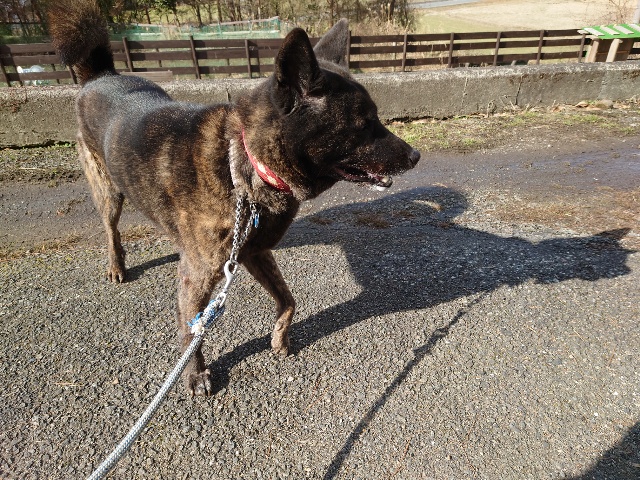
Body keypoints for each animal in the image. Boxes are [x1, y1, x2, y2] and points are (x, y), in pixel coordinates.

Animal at [48, 1, 420, 396]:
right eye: (364, 123)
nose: (416, 156)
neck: (243, 165)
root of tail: (100, 75)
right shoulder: (197, 276)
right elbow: (192, 329)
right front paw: (195, 373)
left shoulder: (253, 252)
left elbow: (288, 300)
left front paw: (279, 339)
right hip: (107, 190)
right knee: (111, 229)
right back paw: (117, 265)